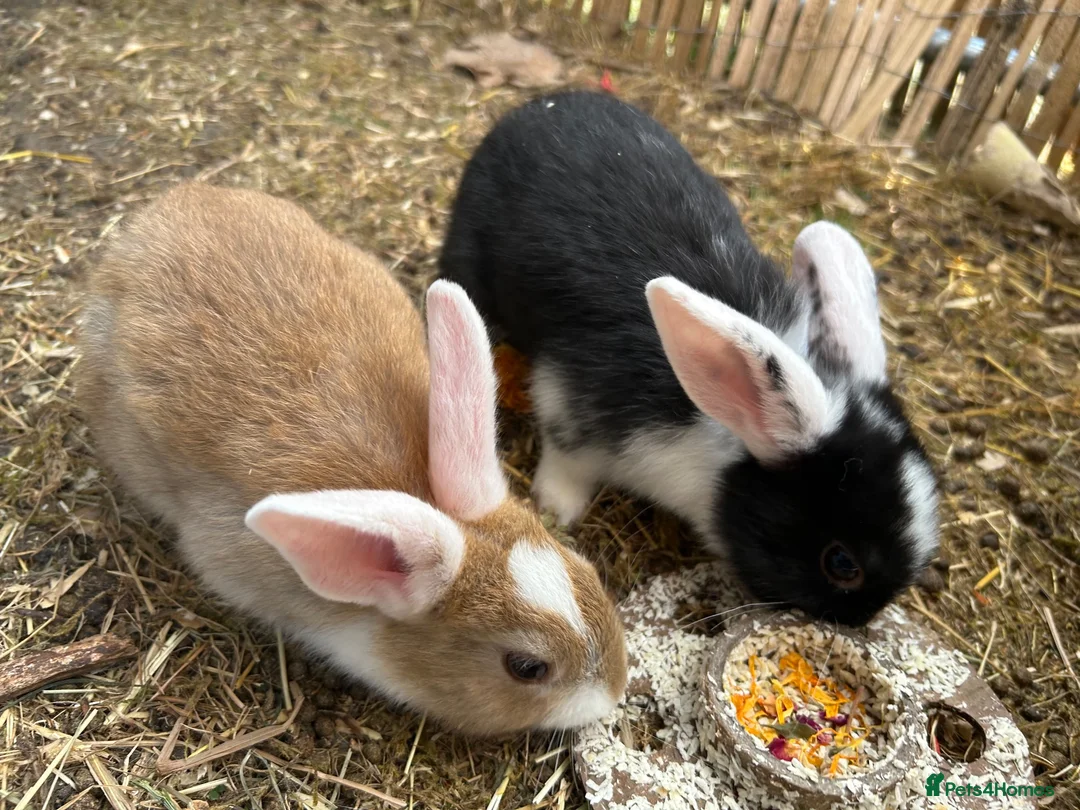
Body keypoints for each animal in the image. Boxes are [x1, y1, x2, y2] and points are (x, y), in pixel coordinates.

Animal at [437, 90, 939, 627]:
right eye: (842, 563)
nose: (863, 618)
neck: (720, 425)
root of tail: (538, 106)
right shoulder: (571, 401)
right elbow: (565, 457)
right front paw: (558, 508)